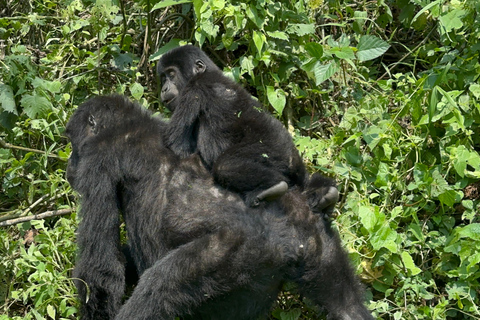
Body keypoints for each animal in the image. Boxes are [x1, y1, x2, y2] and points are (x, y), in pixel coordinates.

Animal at [66, 95, 376, 320]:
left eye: (72, 143)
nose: (69, 165)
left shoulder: (97, 161)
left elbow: (100, 266)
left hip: (240, 251)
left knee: (161, 285)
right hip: (317, 240)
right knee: (346, 306)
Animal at [158, 45, 338, 210]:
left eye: (171, 74)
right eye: (163, 77)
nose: (164, 88)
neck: (205, 72)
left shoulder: (194, 88)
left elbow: (176, 143)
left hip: (272, 151)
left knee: (226, 166)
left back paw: (272, 187)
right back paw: (324, 193)